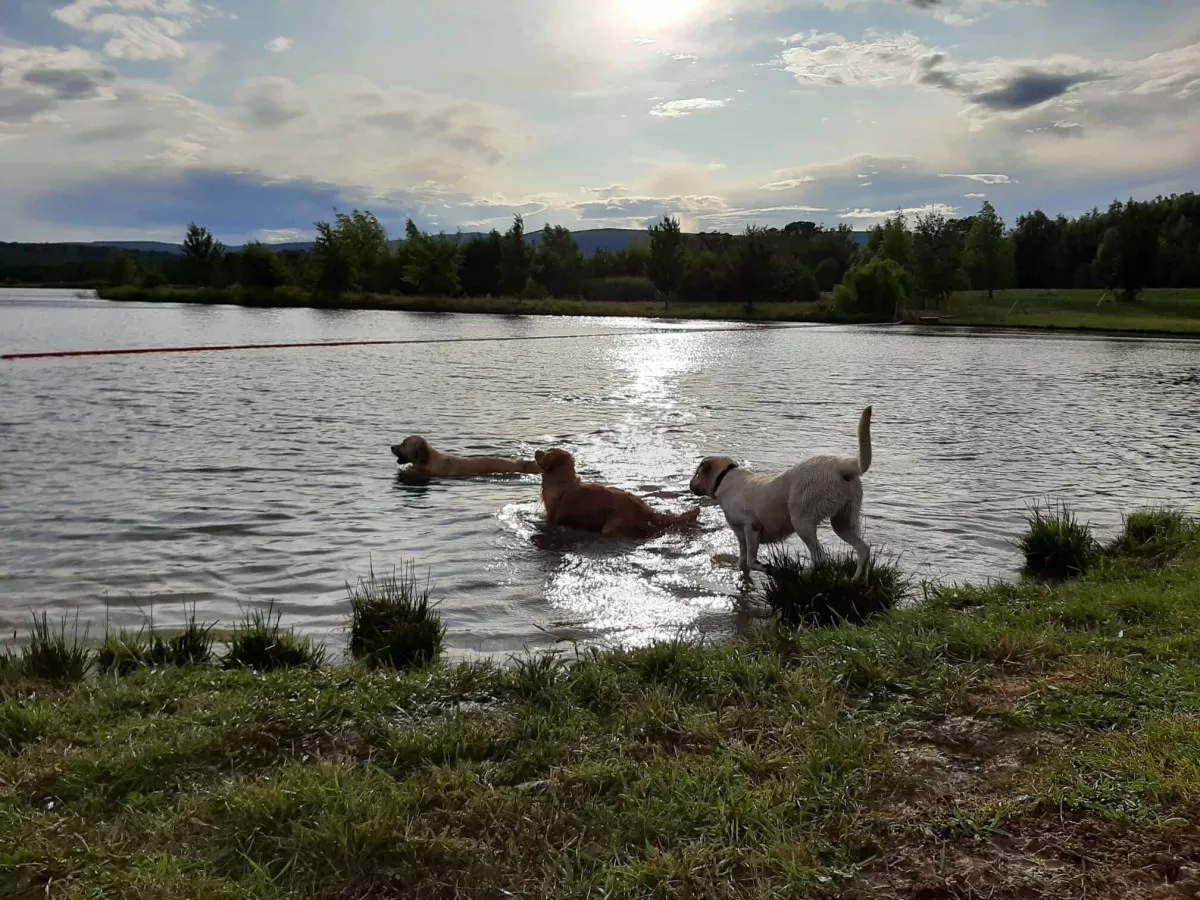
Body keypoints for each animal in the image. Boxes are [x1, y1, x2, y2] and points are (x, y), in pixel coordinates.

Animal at [696, 410, 873, 585]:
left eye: (697, 473)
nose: (691, 484)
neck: (724, 477)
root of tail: (842, 465)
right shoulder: (741, 536)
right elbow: (743, 563)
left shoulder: (751, 526)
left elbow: (751, 561)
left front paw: (769, 568)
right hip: (843, 522)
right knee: (863, 550)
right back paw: (858, 580)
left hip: (802, 520)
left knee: (820, 557)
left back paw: (805, 577)